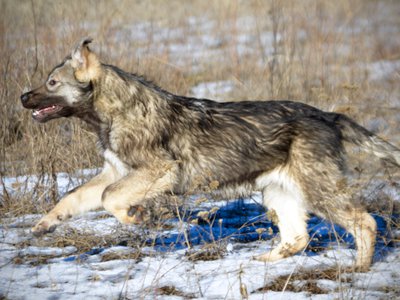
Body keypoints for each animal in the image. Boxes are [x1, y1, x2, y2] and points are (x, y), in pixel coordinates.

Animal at [21, 38, 400, 272]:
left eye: (52, 83)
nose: (23, 97)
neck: (113, 109)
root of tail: (327, 115)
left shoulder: (159, 169)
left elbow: (109, 197)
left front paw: (134, 216)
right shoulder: (115, 171)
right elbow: (75, 197)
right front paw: (45, 224)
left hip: (317, 188)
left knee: (364, 222)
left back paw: (360, 267)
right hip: (278, 191)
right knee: (297, 237)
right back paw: (263, 262)